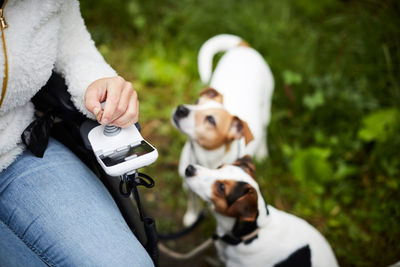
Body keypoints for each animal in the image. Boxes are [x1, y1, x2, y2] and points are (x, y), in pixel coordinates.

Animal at [172, 34, 276, 226]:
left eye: (211, 120)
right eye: (196, 102)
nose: (181, 109)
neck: (207, 158)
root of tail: (244, 47)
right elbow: (192, 200)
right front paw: (191, 216)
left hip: (266, 108)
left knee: (265, 130)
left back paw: (263, 152)